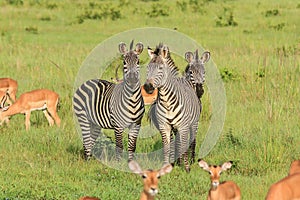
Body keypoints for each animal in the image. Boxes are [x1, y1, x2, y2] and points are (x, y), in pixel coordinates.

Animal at [144, 43, 202, 172]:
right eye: (147, 68)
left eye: (160, 68)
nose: (147, 87)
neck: (167, 102)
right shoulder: (164, 126)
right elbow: (167, 147)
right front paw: (166, 166)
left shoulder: (183, 126)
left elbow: (184, 146)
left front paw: (187, 168)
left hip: (193, 123)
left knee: (192, 141)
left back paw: (191, 160)